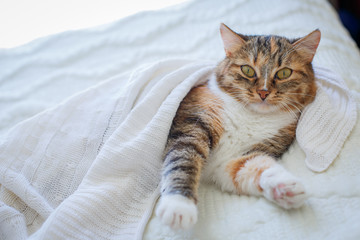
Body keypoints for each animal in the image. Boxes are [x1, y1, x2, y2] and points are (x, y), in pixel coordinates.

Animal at [155, 23, 320, 230]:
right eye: (247, 70)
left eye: (284, 73)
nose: (263, 92)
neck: (251, 117)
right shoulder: (191, 126)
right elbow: (182, 162)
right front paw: (178, 206)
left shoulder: (233, 159)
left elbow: (256, 166)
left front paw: (286, 187)